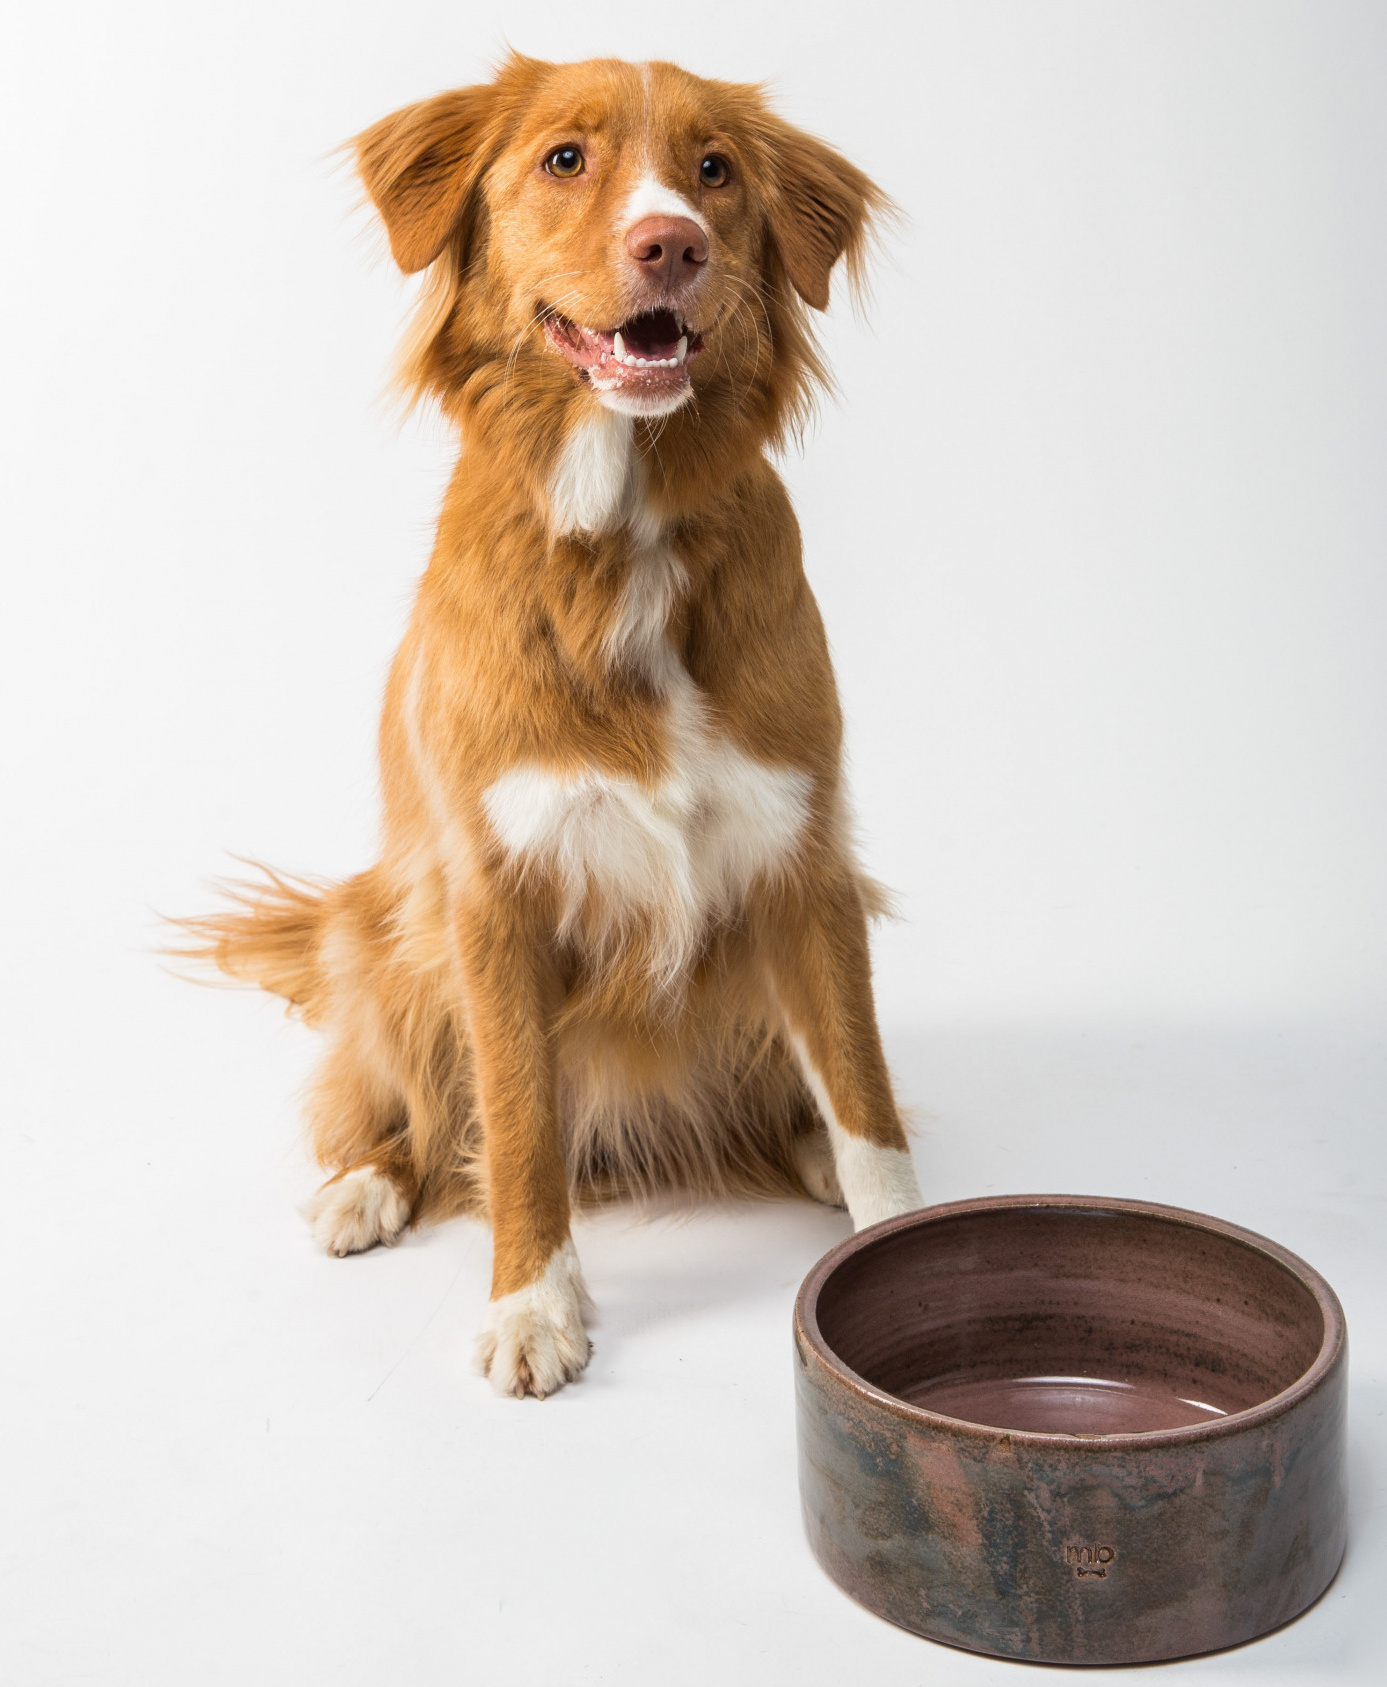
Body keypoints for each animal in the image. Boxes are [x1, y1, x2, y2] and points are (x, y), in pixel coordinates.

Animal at [184, 52, 924, 1396]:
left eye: (714, 171)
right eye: (565, 160)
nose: (670, 244)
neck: (624, 532)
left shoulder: (804, 862)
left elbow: (865, 1096)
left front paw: (896, 1234)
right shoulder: (495, 896)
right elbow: (520, 1122)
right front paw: (532, 1306)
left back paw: (794, 1149)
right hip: (387, 935)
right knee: (408, 1110)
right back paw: (364, 1186)